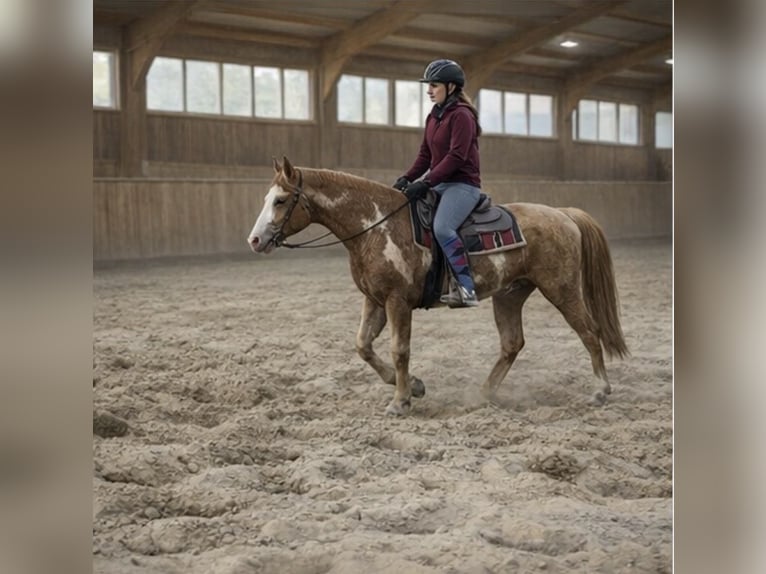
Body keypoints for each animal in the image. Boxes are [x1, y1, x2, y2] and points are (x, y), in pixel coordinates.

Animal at [247, 156, 628, 416]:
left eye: (281, 200)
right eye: (266, 198)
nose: (254, 240)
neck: (376, 225)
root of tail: (563, 214)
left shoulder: (397, 301)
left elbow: (399, 350)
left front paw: (400, 401)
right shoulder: (374, 299)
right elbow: (363, 346)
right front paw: (414, 387)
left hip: (561, 290)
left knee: (589, 333)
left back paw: (600, 390)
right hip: (510, 294)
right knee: (512, 344)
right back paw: (482, 395)